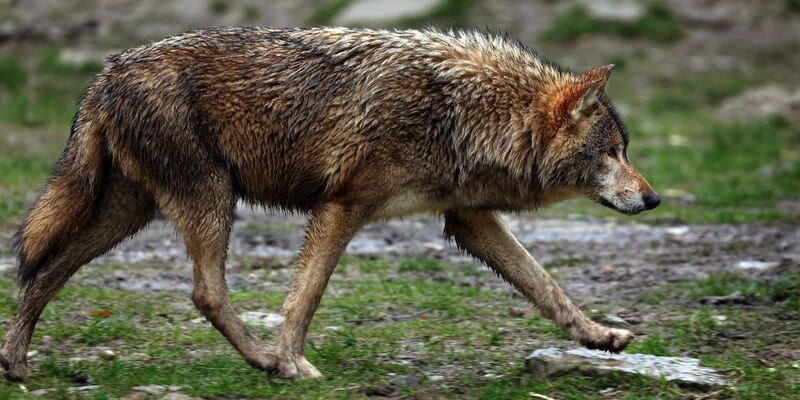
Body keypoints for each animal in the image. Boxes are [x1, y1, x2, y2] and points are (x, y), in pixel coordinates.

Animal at [1, 27, 660, 380]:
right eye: (613, 152)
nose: (653, 198)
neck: (465, 113)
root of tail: (106, 71)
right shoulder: (343, 207)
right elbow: (306, 297)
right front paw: (293, 364)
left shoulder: (468, 219)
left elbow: (547, 286)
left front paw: (600, 336)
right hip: (209, 201)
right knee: (205, 293)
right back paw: (265, 361)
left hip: (132, 212)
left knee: (46, 271)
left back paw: (16, 364)